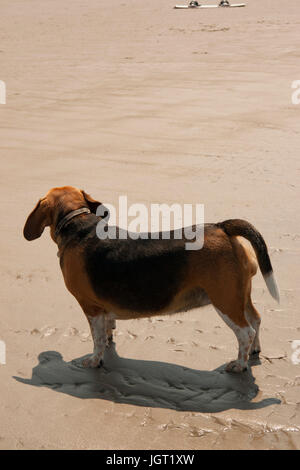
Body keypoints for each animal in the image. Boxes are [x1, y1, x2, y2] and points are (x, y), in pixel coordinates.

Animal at [22, 185, 278, 372]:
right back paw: (254, 351)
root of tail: (222, 227)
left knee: (246, 332)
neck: (78, 224)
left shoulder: (90, 307)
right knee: (256, 320)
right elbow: (107, 329)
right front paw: (109, 340)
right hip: (240, 296)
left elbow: (96, 339)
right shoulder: (102, 310)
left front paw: (94, 361)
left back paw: (239, 365)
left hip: (225, 301)